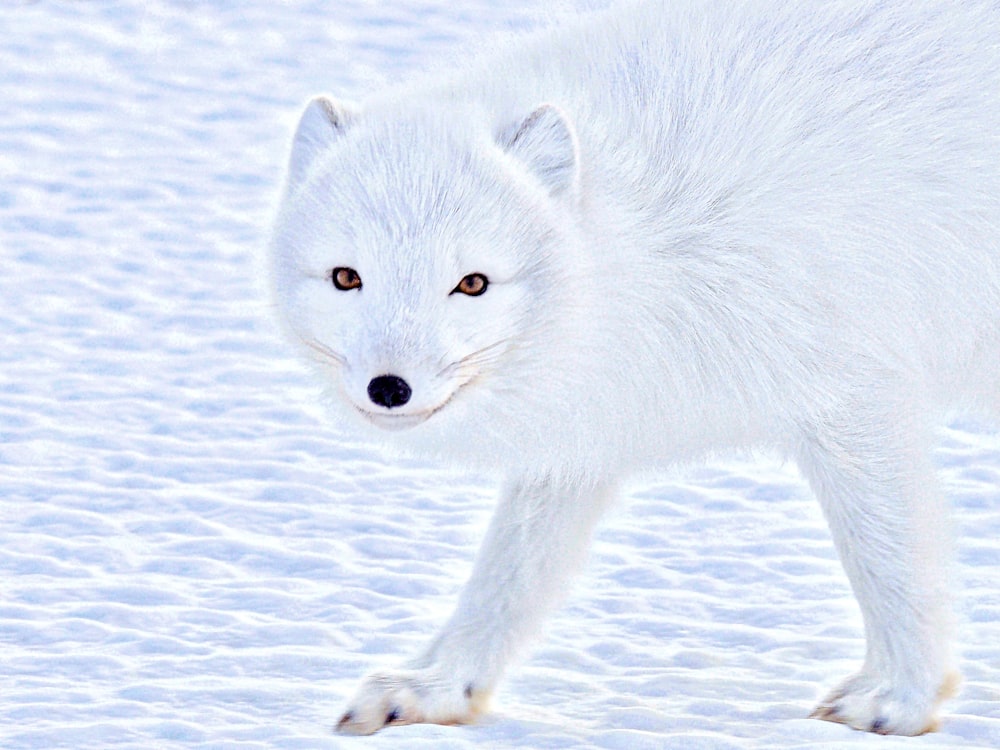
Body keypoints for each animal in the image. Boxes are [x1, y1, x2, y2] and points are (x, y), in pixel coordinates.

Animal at [270, 0, 1000, 740]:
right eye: (346, 277)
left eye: (472, 283)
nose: (389, 388)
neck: (649, 236)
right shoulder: (585, 432)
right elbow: (506, 577)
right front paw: (438, 687)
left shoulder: (852, 399)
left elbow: (888, 559)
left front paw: (900, 699)